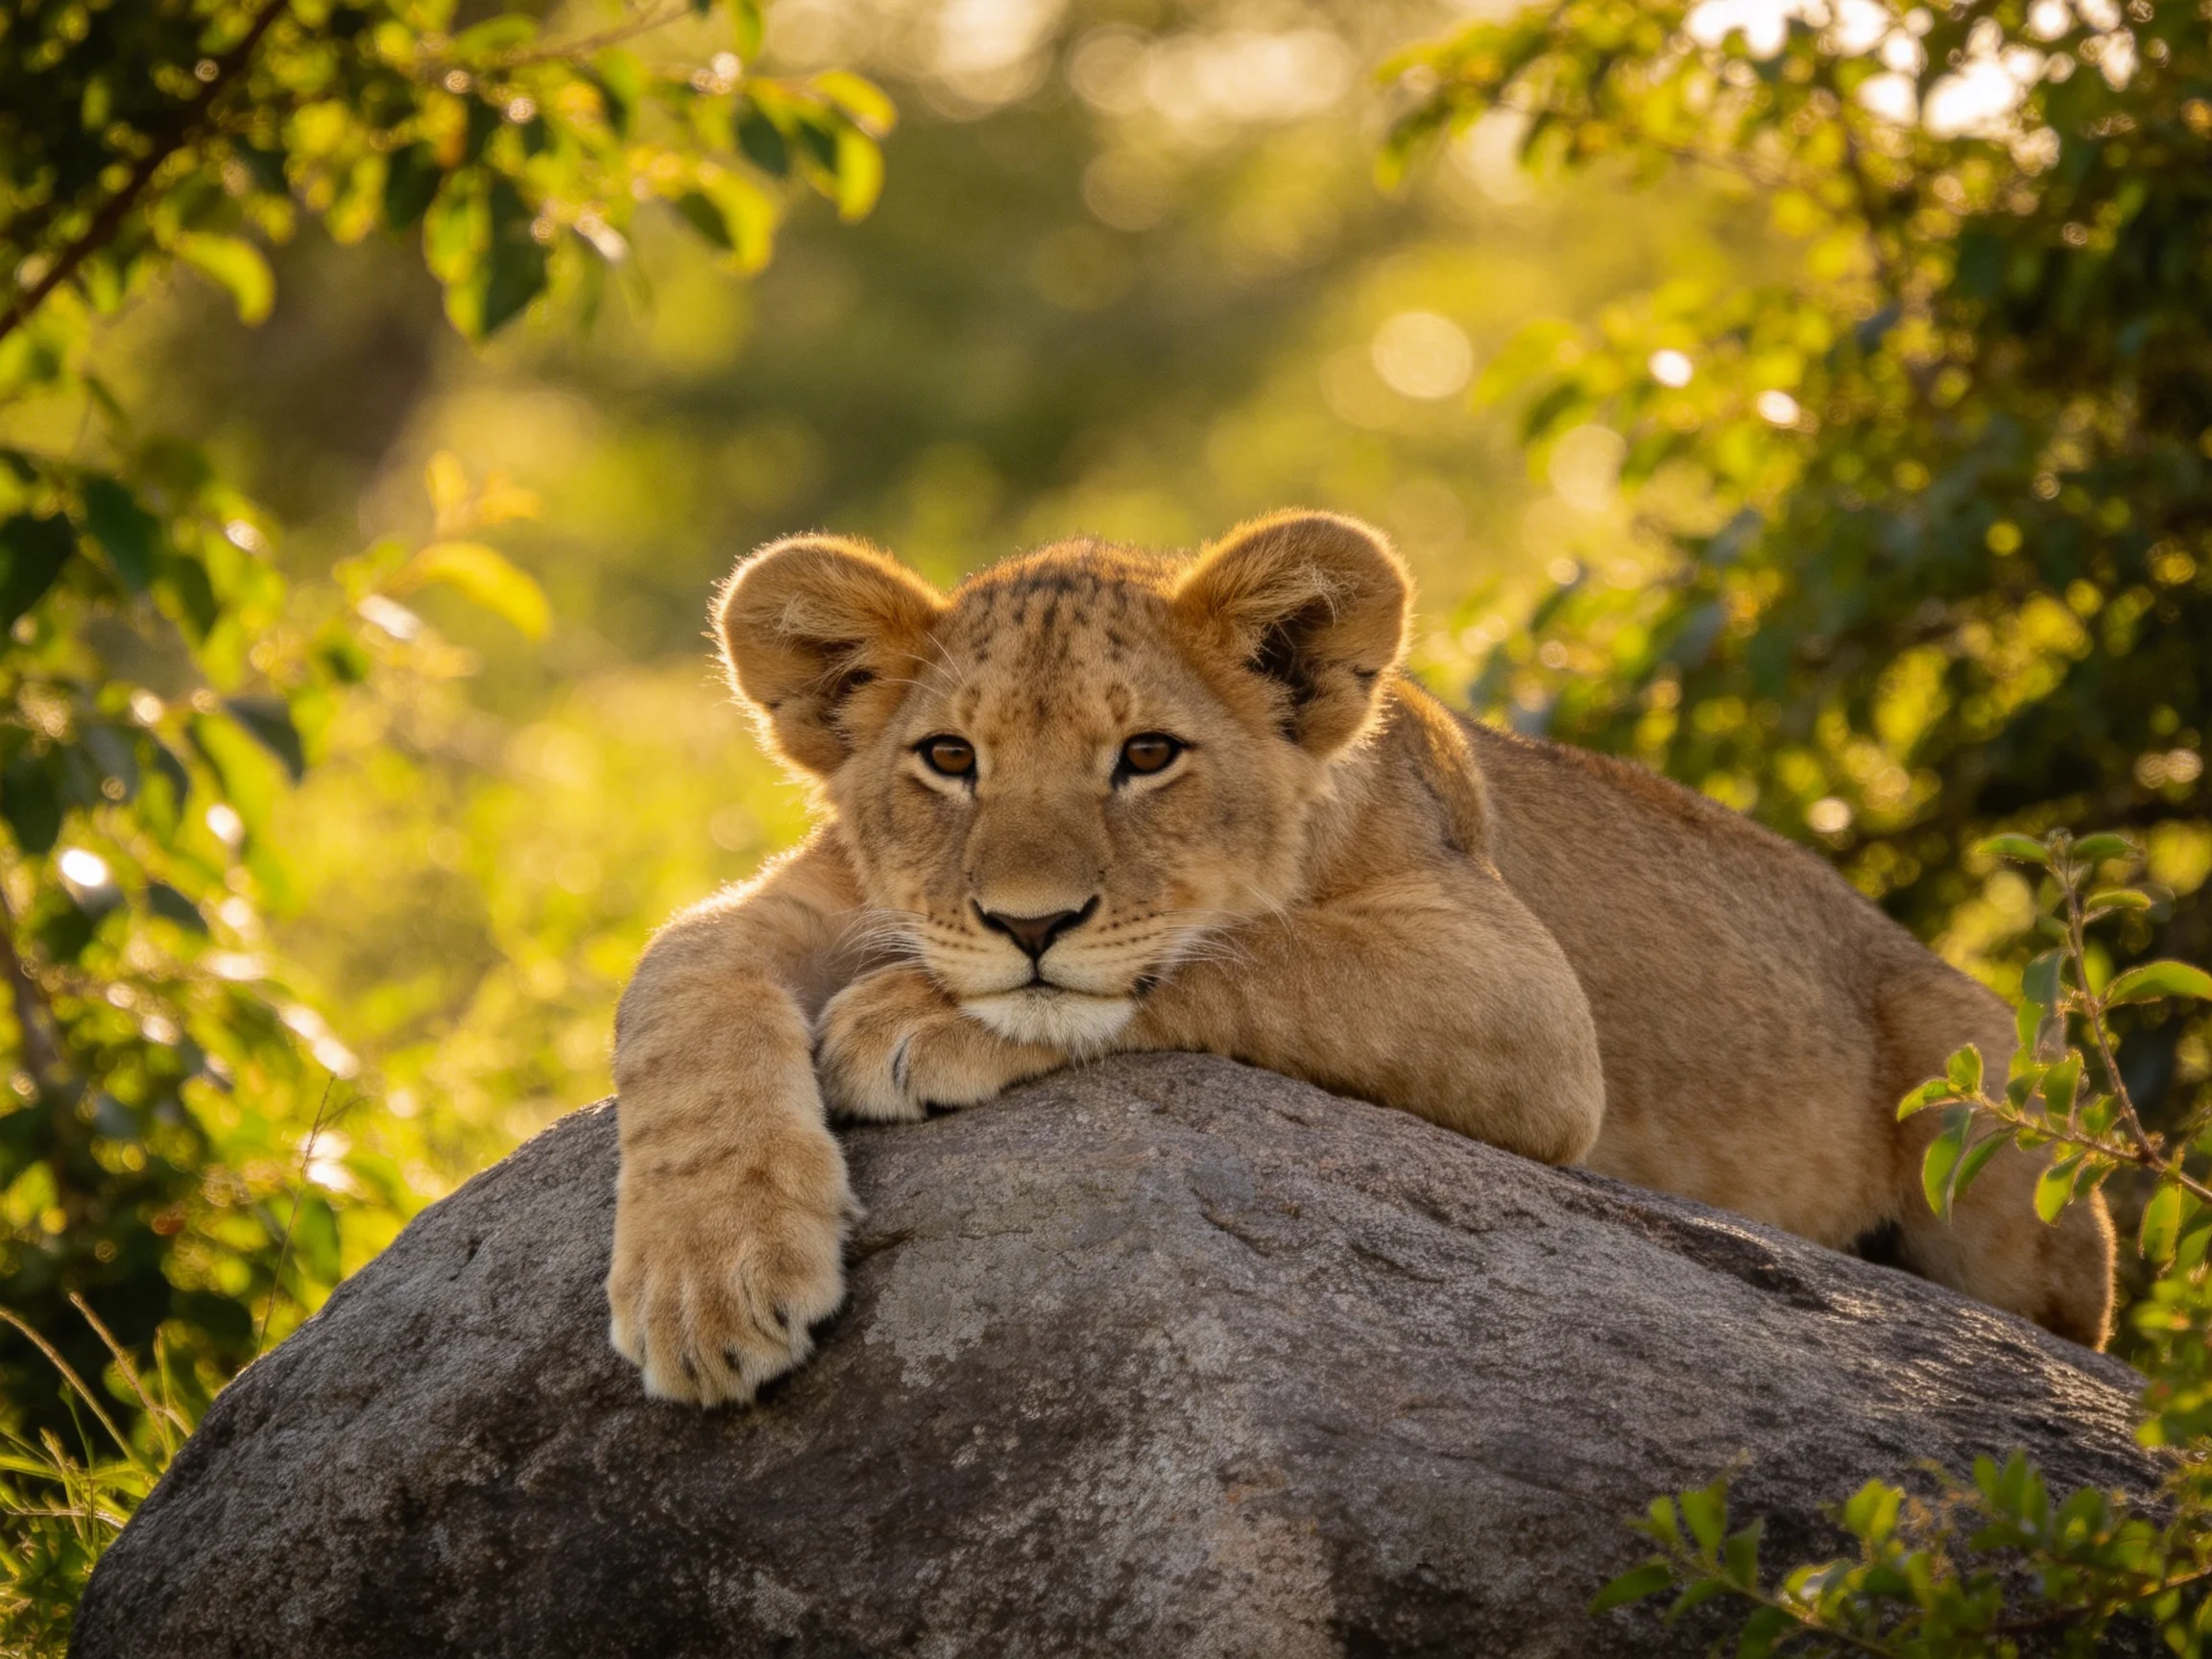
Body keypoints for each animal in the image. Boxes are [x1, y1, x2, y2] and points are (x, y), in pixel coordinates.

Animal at [606, 510, 2114, 1405]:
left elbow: (1246, 951)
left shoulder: (1525, 999)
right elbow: (672, 982)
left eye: (1146, 755)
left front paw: (915, 1015)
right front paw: (707, 1281)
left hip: (1993, 1109)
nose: (1029, 923)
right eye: (947, 758)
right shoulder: (809, 896)